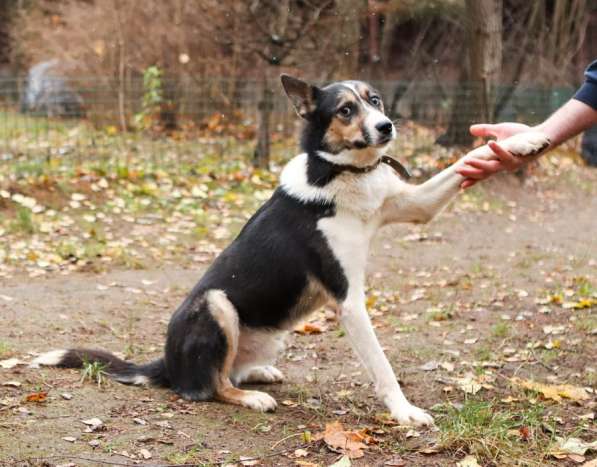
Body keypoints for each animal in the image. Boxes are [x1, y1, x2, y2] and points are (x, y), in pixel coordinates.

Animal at [30, 74, 548, 428]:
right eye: (344, 110)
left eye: (374, 100)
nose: (386, 127)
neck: (344, 174)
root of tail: (166, 363)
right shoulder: (349, 300)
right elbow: (383, 367)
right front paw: (405, 412)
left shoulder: (415, 206)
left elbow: (463, 163)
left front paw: (526, 139)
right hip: (215, 303)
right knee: (208, 386)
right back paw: (250, 398)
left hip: (269, 332)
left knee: (229, 372)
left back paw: (259, 374)